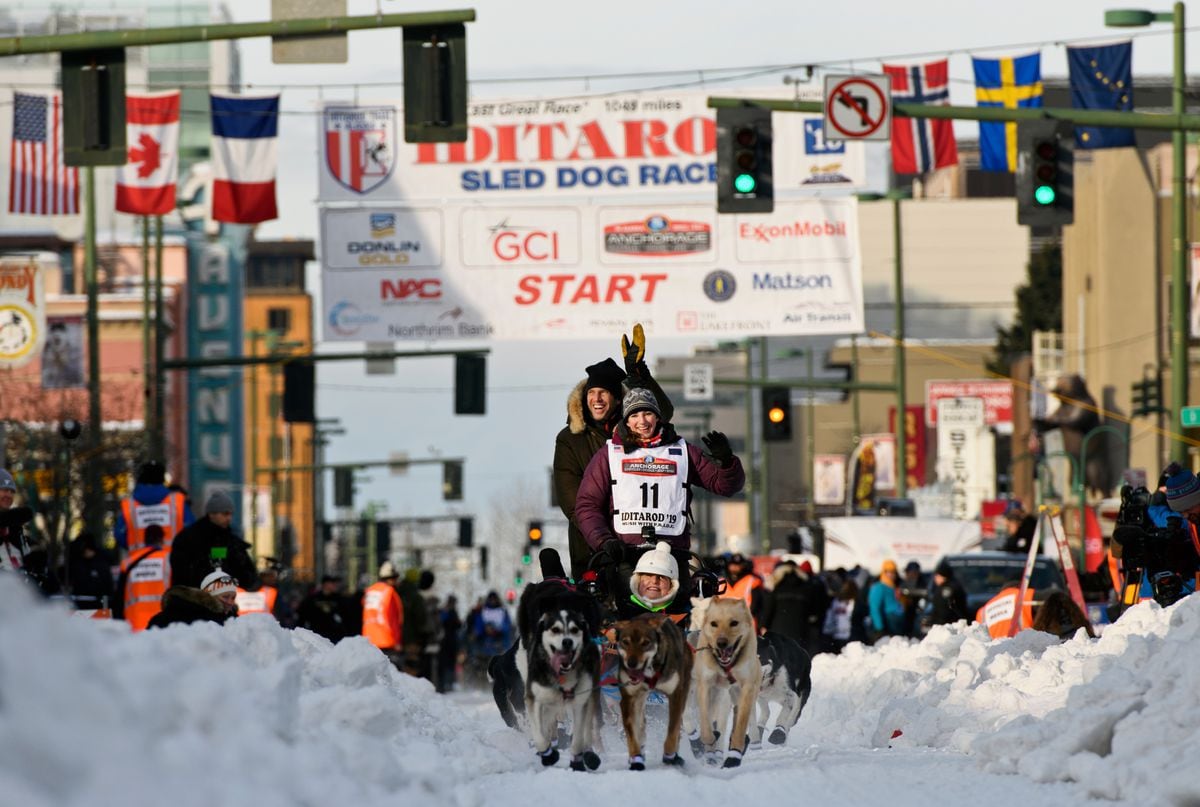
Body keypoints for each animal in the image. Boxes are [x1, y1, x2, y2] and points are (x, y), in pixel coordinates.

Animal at [614, 614, 691, 773]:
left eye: (645, 643)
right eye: (625, 642)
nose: (631, 663)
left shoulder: (676, 696)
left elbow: (672, 730)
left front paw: (669, 755)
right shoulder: (628, 699)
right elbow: (631, 732)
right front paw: (636, 758)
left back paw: (675, 756)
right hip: (639, 700)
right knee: (641, 726)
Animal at [691, 595, 763, 763]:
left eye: (734, 623)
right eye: (713, 623)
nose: (721, 643)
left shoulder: (747, 687)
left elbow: (741, 723)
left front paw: (735, 749)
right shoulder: (705, 686)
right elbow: (705, 722)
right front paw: (709, 740)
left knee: (746, 719)